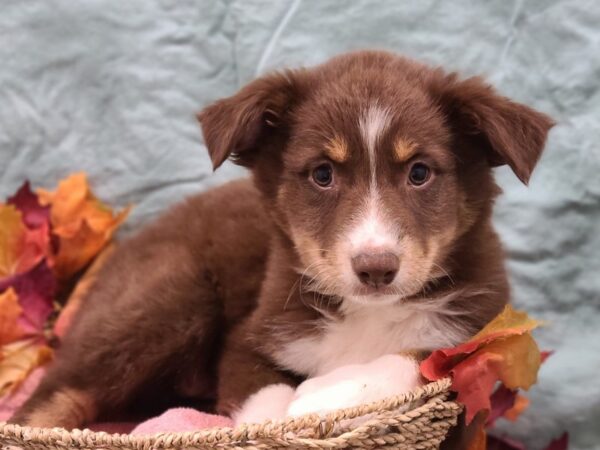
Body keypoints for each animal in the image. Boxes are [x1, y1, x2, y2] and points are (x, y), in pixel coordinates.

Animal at [9, 49, 552, 428]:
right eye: (322, 174)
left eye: (419, 172)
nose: (376, 268)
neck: (366, 314)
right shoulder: (252, 336)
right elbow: (262, 400)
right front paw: (297, 408)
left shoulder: (478, 333)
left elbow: (418, 358)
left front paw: (325, 395)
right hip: (173, 297)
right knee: (56, 392)